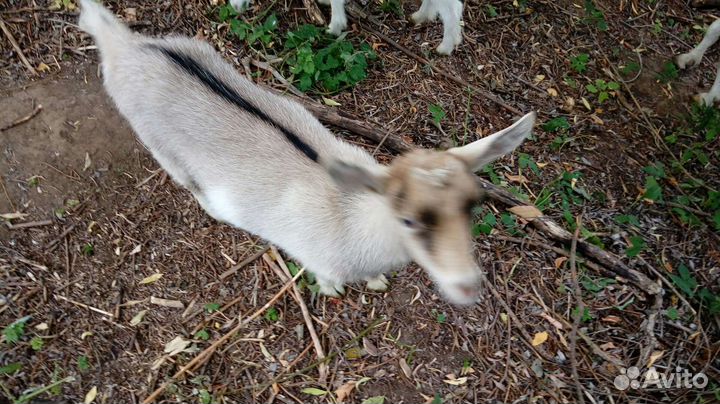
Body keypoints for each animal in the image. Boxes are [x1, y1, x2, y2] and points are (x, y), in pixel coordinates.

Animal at [78, 0, 535, 305]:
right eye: (406, 219)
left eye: (472, 205)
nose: (468, 286)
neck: (351, 218)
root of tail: (126, 46)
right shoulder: (315, 255)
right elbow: (324, 276)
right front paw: (334, 290)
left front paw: (376, 284)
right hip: (155, 141)